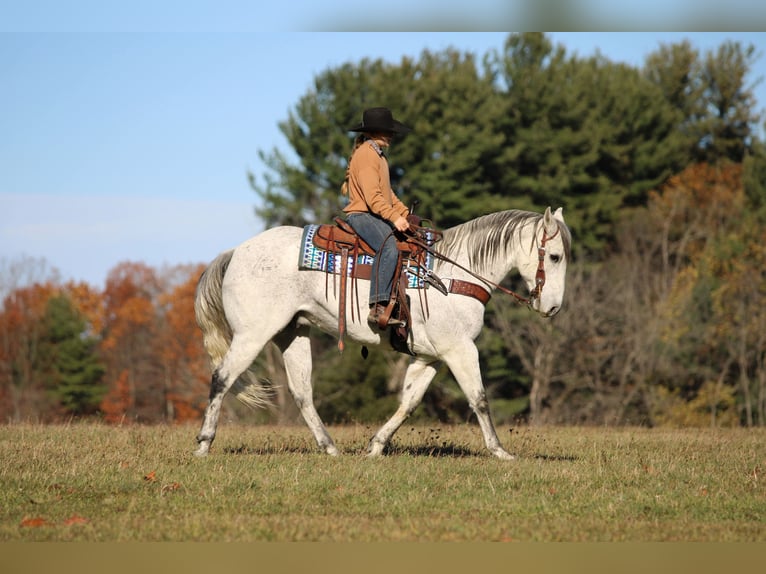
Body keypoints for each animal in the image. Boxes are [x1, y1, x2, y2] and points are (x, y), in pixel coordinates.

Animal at [193, 207, 571, 460]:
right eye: (554, 256)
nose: (553, 308)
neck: (454, 274)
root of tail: (235, 253)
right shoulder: (460, 349)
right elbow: (479, 398)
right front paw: (500, 451)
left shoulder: (431, 356)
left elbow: (409, 402)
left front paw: (376, 446)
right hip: (252, 335)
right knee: (222, 378)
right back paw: (204, 443)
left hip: (292, 333)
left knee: (302, 393)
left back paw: (330, 448)